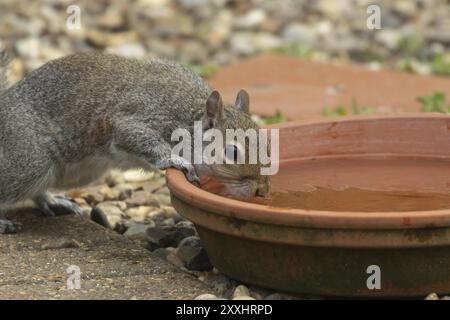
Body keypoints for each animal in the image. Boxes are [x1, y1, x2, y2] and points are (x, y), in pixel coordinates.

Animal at [0, 51, 268, 234]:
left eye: (266, 145)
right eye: (233, 152)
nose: (261, 191)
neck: (190, 114)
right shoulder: (137, 118)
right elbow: (138, 137)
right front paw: (177, 161)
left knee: (38, 191)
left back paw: (54, 202)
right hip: (28, 160)